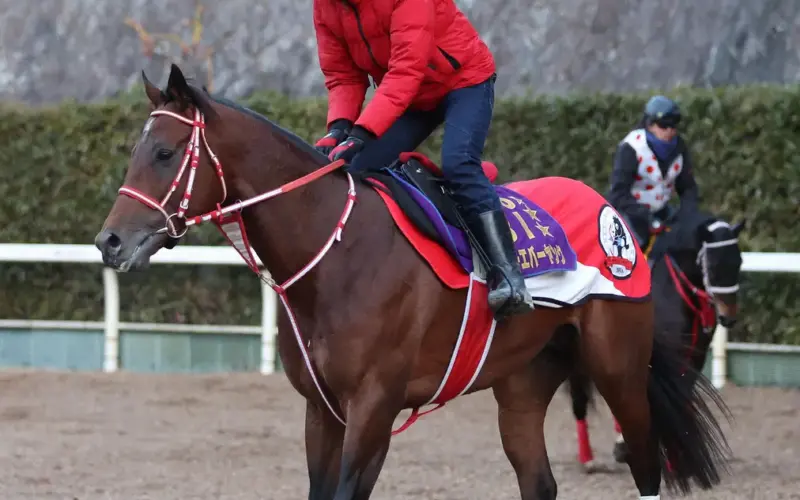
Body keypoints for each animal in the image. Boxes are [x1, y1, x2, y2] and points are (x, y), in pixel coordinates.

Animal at [566, 212, 744, 469]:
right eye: (713, 265)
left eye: (739, 261)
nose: (728, 317)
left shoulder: (694, 355)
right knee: (579, 395)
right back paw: (588, 458)